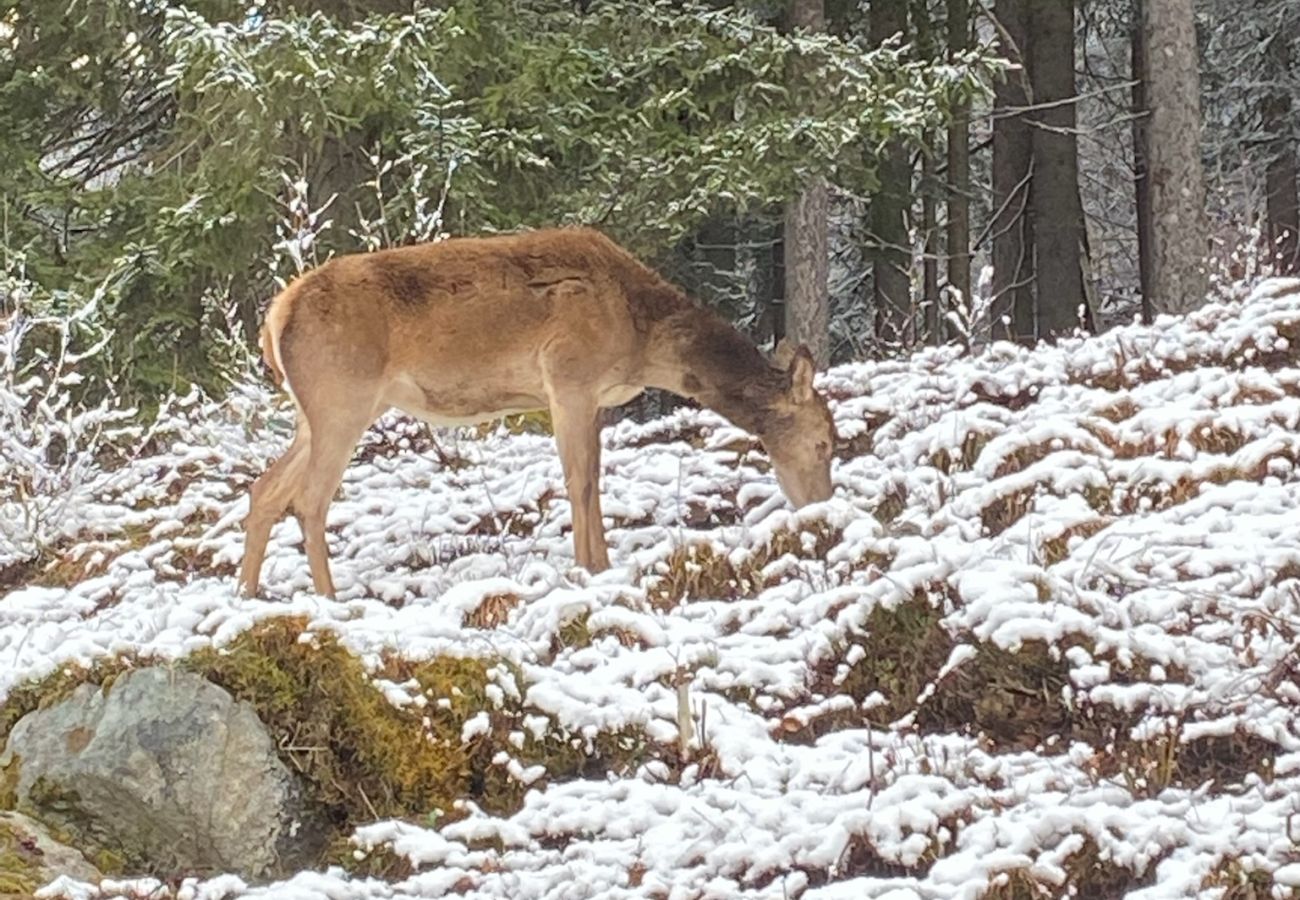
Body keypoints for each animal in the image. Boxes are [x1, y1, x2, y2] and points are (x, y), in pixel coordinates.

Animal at [239, 226, 837, 598]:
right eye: (824, 441)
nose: (823, 507)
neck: (642, 337)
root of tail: (275, 317)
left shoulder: (592, 399)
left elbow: (595, 477)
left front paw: (603, 563)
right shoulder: (569, 376)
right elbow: (579, 481)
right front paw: (589, 566)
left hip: (315, 411)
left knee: (266, 488)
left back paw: (247, 590)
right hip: (344, 395)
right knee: (308, 498)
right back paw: (329, 597)